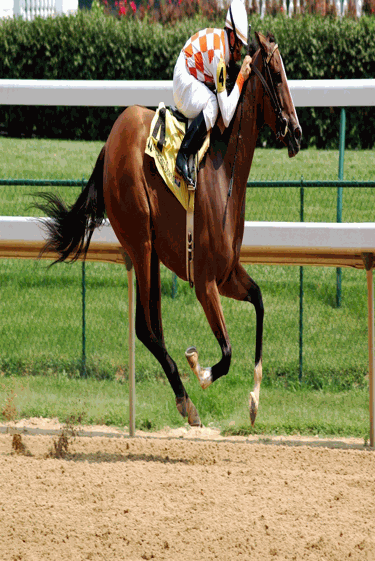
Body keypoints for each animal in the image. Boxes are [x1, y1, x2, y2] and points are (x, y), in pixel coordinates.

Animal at [36, 32, 302, 426]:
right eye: (279, 76)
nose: (297, 133)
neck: (224, 174)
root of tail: (112, 138)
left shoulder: (226, 274)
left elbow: (259, 301)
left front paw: (254, 399)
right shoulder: (205, 282)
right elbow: (226, 353)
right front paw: (200, 369)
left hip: (152, 256)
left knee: (154, 328)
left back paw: (183, 398)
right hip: (140, 242)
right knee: (145, 329)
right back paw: (186, 399)